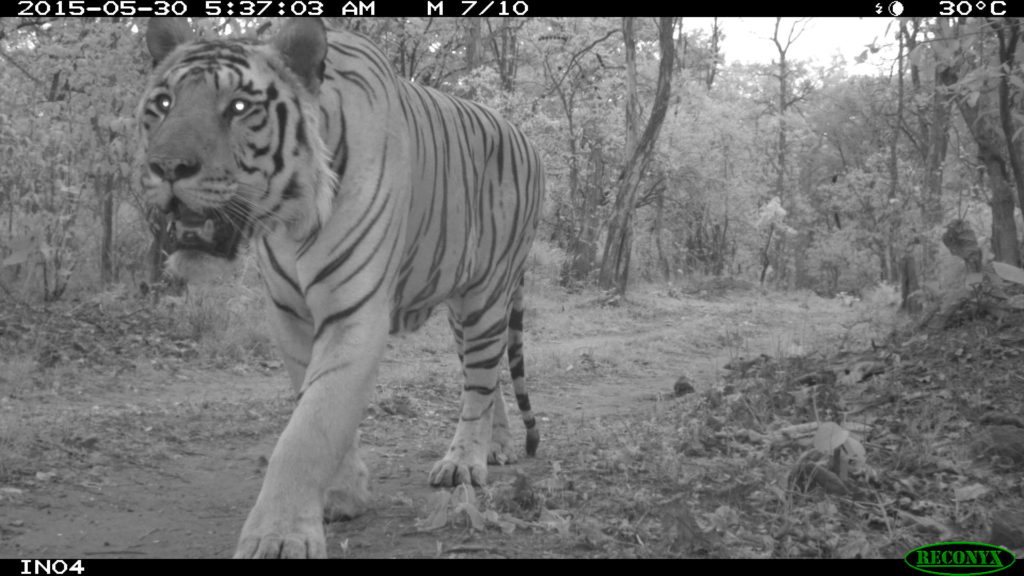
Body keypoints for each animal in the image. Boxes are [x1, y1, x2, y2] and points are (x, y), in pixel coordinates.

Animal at [140, 19, 548, 557]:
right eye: (164, 103)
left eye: (240, 108)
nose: (167, 167)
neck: (289, 220)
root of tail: (524, 136)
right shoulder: (290, 316)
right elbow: (320, 407)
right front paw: (342, 495)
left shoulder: (354, 312)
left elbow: (310, 428)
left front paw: (280, 535)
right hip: (464, 312)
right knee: (489, 374)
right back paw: (497, 446)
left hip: (486, 296)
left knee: (479, 382)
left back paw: (464, 463)